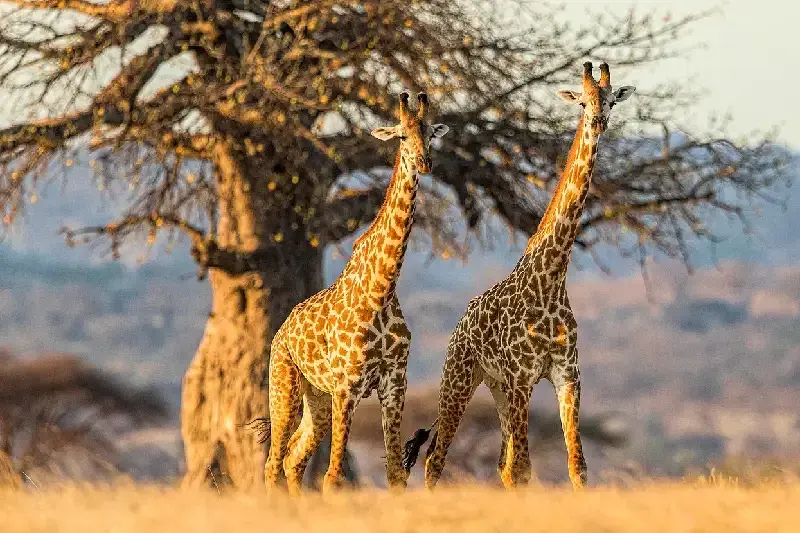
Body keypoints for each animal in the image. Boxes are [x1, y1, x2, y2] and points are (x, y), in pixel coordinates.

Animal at [263, 91, 449, 495]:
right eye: (401, 135)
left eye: (431, 133)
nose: (425, 163)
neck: (382, 289)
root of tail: (281, 331)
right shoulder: (346, 386)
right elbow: (333, 477)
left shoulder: (395, 382)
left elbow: (396, 473)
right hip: (285, 387)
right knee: (273, 461)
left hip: (317, 400)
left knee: (293, 459)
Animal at [402, 62, 635, 490]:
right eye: (582, 101)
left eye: (611, 100)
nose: (598, 122)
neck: (551, 279)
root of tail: (459, 326)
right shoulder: (523, 377)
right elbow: (524, 468)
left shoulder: (567, 375)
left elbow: (577, 466)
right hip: (460, 378)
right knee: (436, 458)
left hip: (497, 388)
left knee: (499, 463)